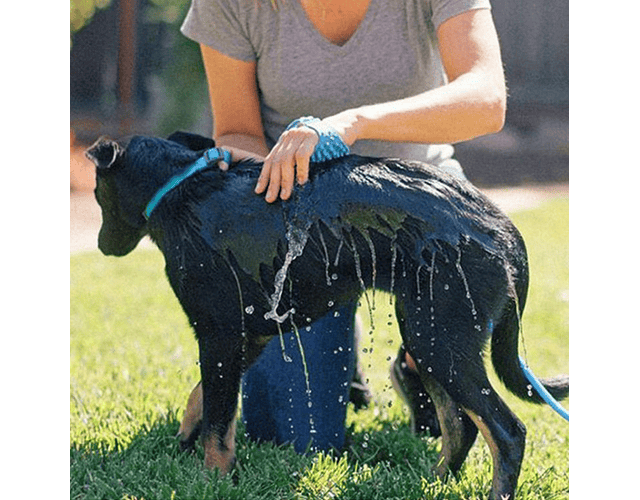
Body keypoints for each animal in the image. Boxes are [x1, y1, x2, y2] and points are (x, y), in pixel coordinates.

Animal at [86, 131, 568, 498]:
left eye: (94, 192)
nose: (101, 248)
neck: (180, 188)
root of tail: (503, 227)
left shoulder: (219, 334)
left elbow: (219, 425)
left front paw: (214, 481)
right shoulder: (248, 336)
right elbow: (200, 397)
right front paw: (186, 439)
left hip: (439, 338)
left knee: (506, 432)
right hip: (431, 335)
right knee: (461, 426)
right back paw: (432, 482)